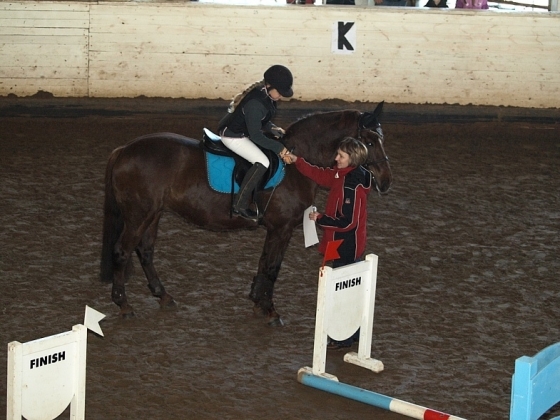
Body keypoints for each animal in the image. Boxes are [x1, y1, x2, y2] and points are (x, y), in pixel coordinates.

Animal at [99, 101, 390, 324]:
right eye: (369, 141)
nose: (385, 182)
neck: (295, 165)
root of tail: (124, 150)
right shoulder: (282, 228)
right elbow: (272, 267)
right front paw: (271, 311)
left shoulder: (275, 229)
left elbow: (264, 262)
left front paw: (257, 302)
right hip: (139, 215)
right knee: (122, 251)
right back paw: (124, 305)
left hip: (153, 214)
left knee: (145, 252)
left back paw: (163, 296)